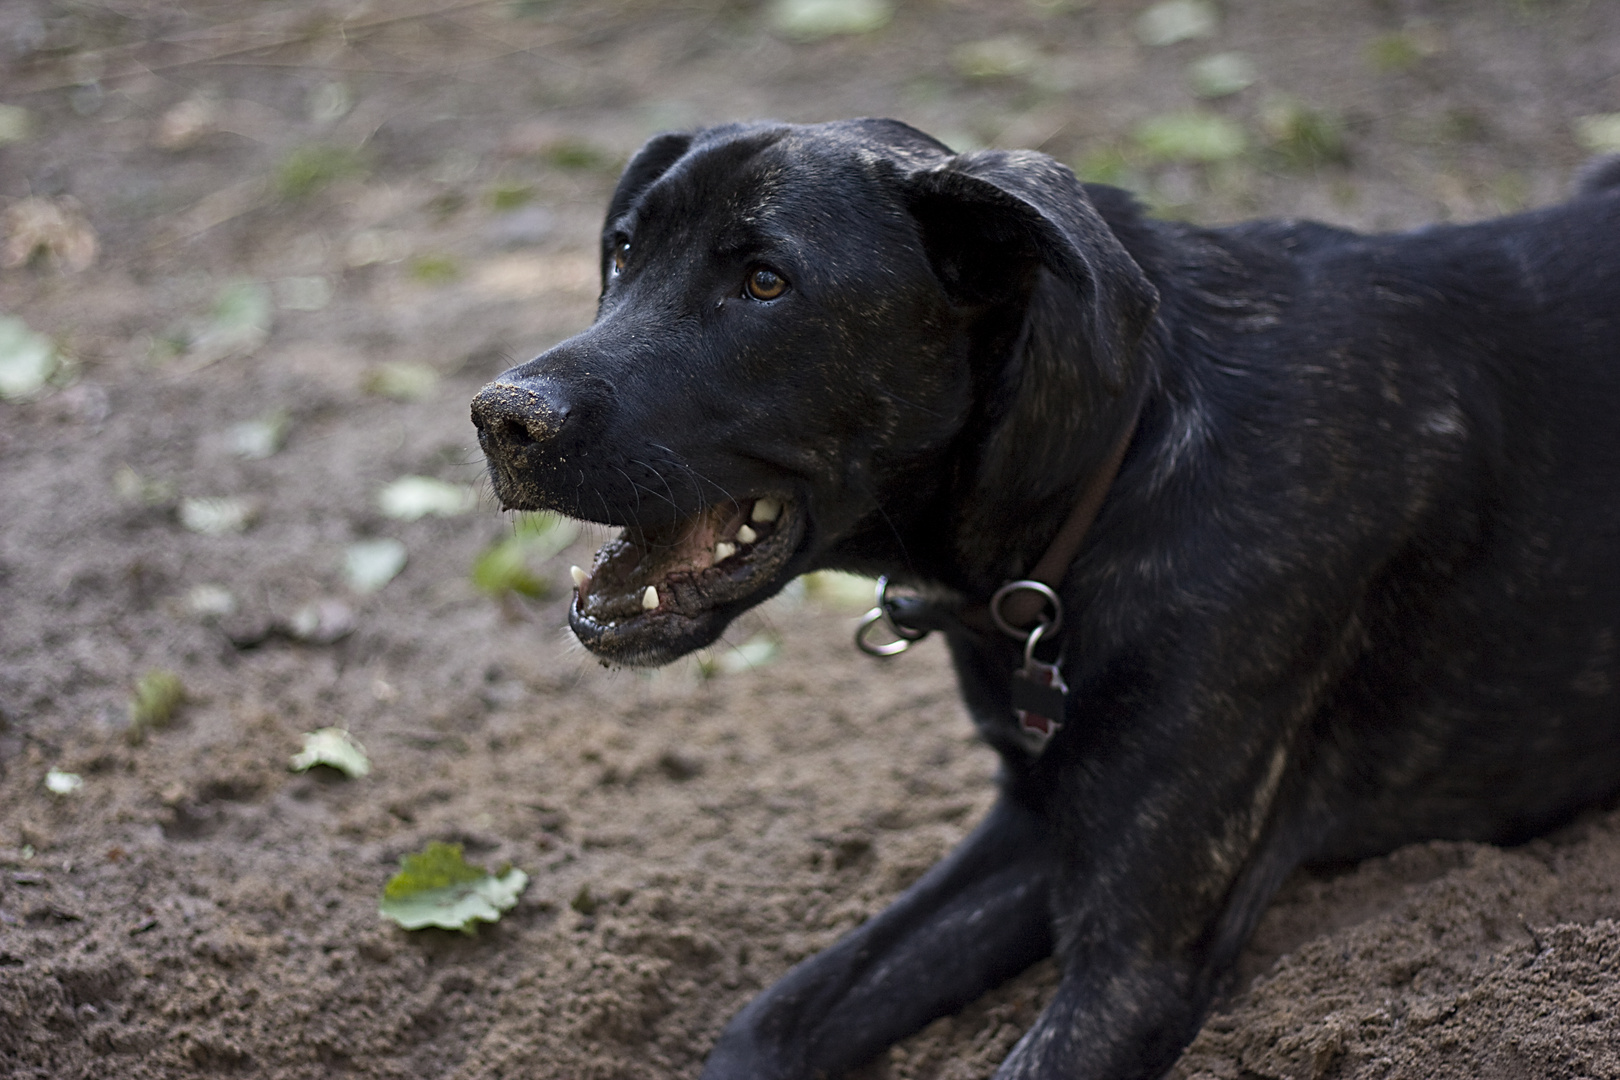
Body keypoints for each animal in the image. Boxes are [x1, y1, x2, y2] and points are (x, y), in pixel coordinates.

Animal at [469, 122, 1620, 1075]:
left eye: (764, 281)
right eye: (624, 250)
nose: (500, 417)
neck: (1123, 452)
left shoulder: (1133, 960)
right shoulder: (1034, 821)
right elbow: (775, 1017)